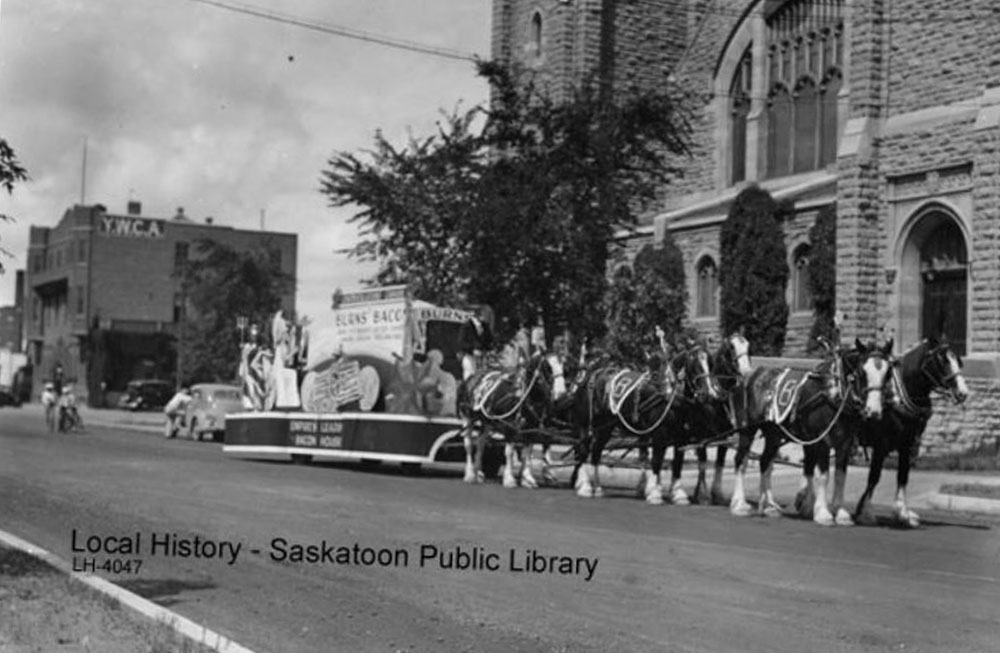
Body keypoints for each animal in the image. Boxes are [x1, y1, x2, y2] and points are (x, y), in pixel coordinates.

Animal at [856, 336, 964, 524]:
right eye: (942, 360)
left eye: (957, 360)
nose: (963, 392)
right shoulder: (881, 444)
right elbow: (874, 476)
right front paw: (866, 511)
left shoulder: (907, 444)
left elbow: (903, 475)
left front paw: (902, 512)